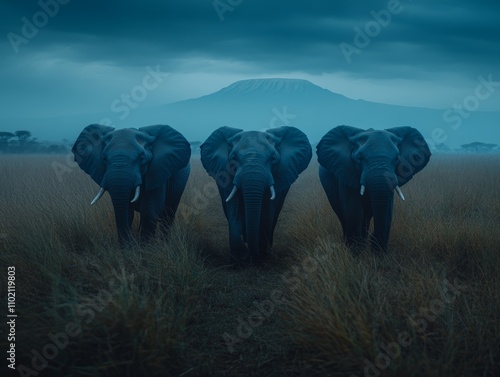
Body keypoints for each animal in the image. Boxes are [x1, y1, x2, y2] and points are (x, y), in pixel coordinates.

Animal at [200, 125, 310, 264]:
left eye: (273, 159)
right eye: (234, 158)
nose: (254, 256)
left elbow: (267, 214)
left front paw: (262, 259)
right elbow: (234, 212)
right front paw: (240, 261)